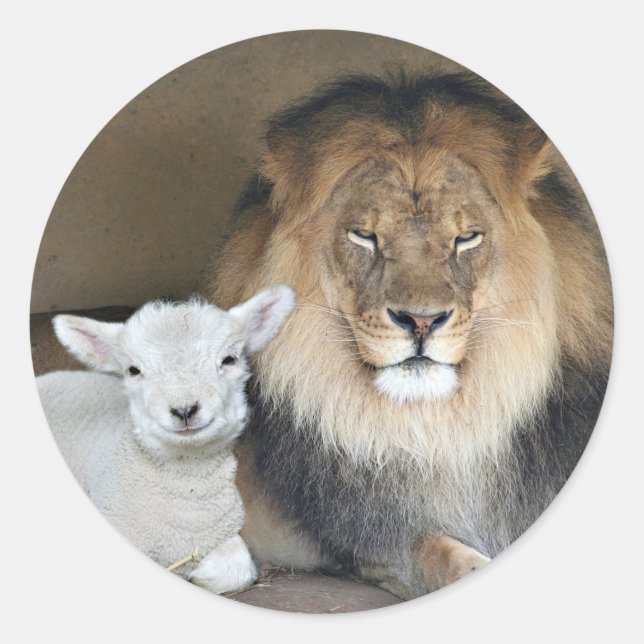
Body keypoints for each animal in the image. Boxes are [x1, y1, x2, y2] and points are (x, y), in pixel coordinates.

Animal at [36, 286, 295, 595]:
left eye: (229, 359)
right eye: (133, 370)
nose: (184, 410)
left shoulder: (221, 534)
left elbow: (238, 564)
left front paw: (200, 574)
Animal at [209, 71, 613, 600]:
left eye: (466, 238)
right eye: (364, 236)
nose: (421, 322)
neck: (439, 430)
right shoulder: (377, 540)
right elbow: (445, 559)